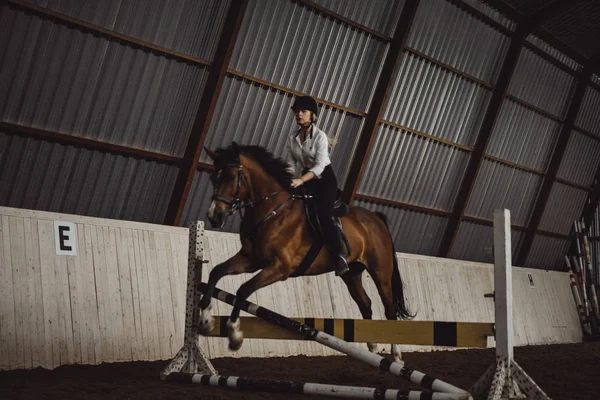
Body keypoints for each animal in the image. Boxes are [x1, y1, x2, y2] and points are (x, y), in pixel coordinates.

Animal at [199, 142, 410, 360]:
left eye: (231, 177)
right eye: (213, 177)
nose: (214, 216)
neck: (272, 208)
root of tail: (376, 219)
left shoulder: (280, 268)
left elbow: (243, 290)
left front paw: (234, 334)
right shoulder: (251, 259)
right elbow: (216, 271)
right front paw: (206, 321)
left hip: (381, 273)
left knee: (390, 309)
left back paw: (396, 355)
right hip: (351, 274)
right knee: (366, 304)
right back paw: (372, 345)